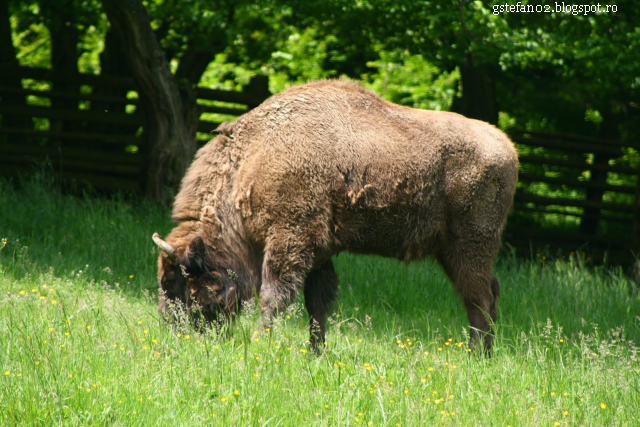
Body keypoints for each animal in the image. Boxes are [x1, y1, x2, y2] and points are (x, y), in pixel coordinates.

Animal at [155, 79, 520, 354]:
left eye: (178, 281)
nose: (175, 332)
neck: (251, 159)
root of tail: (508, 148)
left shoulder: (289, 240)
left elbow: (274, 296)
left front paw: (261, 343)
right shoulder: (318, 252)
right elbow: (317, 303)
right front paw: (315, 352)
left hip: (470, 244)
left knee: (479, 298)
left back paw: (476, 356)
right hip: (452, 250)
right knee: (488, 293)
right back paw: (484, 356)